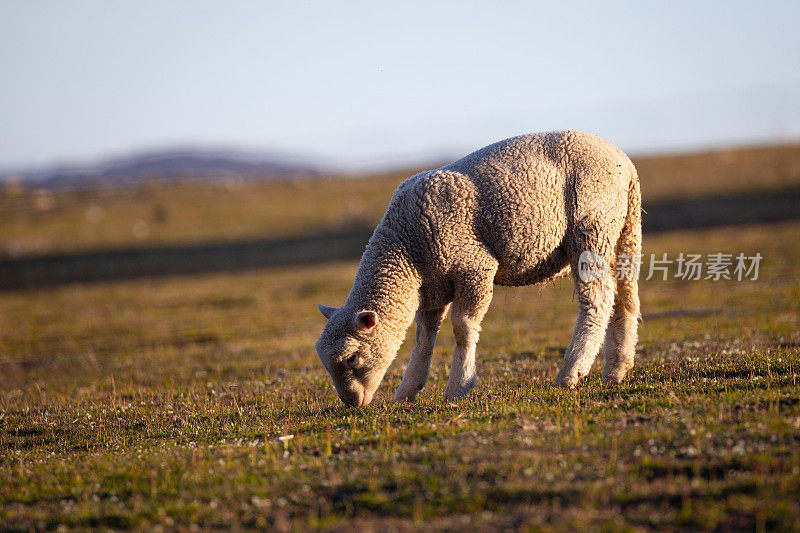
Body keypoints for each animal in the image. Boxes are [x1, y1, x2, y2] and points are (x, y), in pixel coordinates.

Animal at [316, 131, 640, 406]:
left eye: (351, 358)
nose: (350, 402)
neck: (407, 249)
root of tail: (623, 160)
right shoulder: (432, 290)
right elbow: (424, 340)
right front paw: (407, 392)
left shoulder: (474, 267)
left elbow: (463, 328)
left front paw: (459, 386)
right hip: (624, 231)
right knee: (625, 299)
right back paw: (617, 369)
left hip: (591, 226)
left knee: (597, 301)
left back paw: (571, 373)